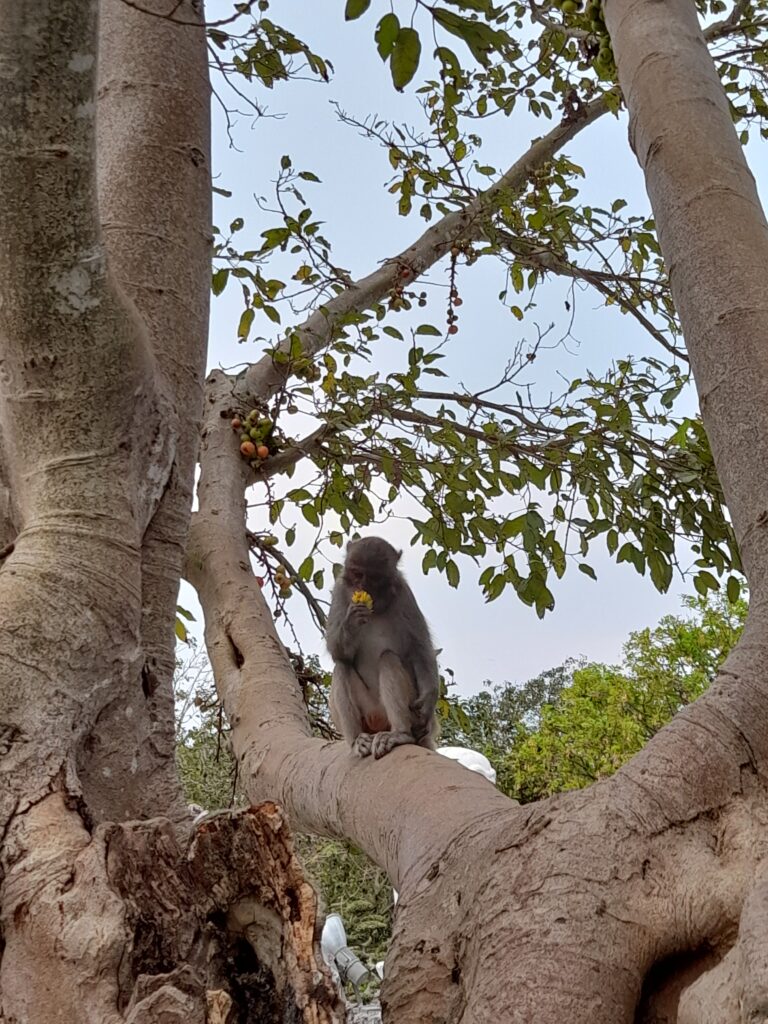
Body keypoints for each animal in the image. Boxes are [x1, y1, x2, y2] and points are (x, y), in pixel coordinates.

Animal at [325, 536, 438, 761]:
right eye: (357, 573)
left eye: (375, 577)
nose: (362, 586)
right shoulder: (340, 590)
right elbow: (336, 650)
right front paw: (352, 621)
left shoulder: (405, 595)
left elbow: (420, 650)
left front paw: (429, 700)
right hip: (368, 714)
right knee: (342, 666)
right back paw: (357, 740)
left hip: (405, 713)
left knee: (388, 658)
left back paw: (400, 734)